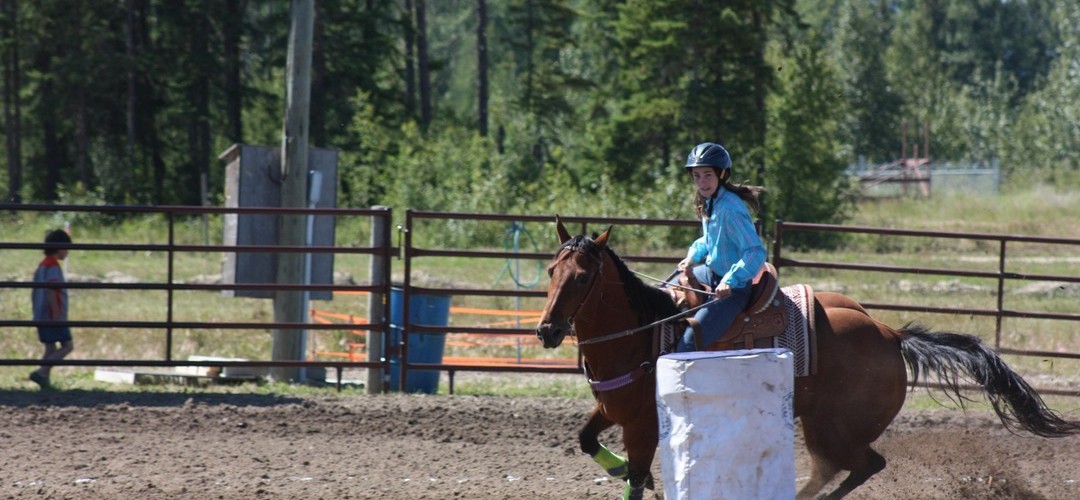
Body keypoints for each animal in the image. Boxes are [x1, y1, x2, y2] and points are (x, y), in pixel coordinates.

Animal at [540, 223, 1080, 500]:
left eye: (583, 276)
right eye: (550, 270)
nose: (546, 330)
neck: (642, 333)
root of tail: (892, 336)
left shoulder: (643, 426)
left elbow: (635, 477)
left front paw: (640, 479)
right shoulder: (612, 410)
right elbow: (587, 441)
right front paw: (620, 472)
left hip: (834, 427)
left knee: (863, 464)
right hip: (825, 426)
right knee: (843, 468)